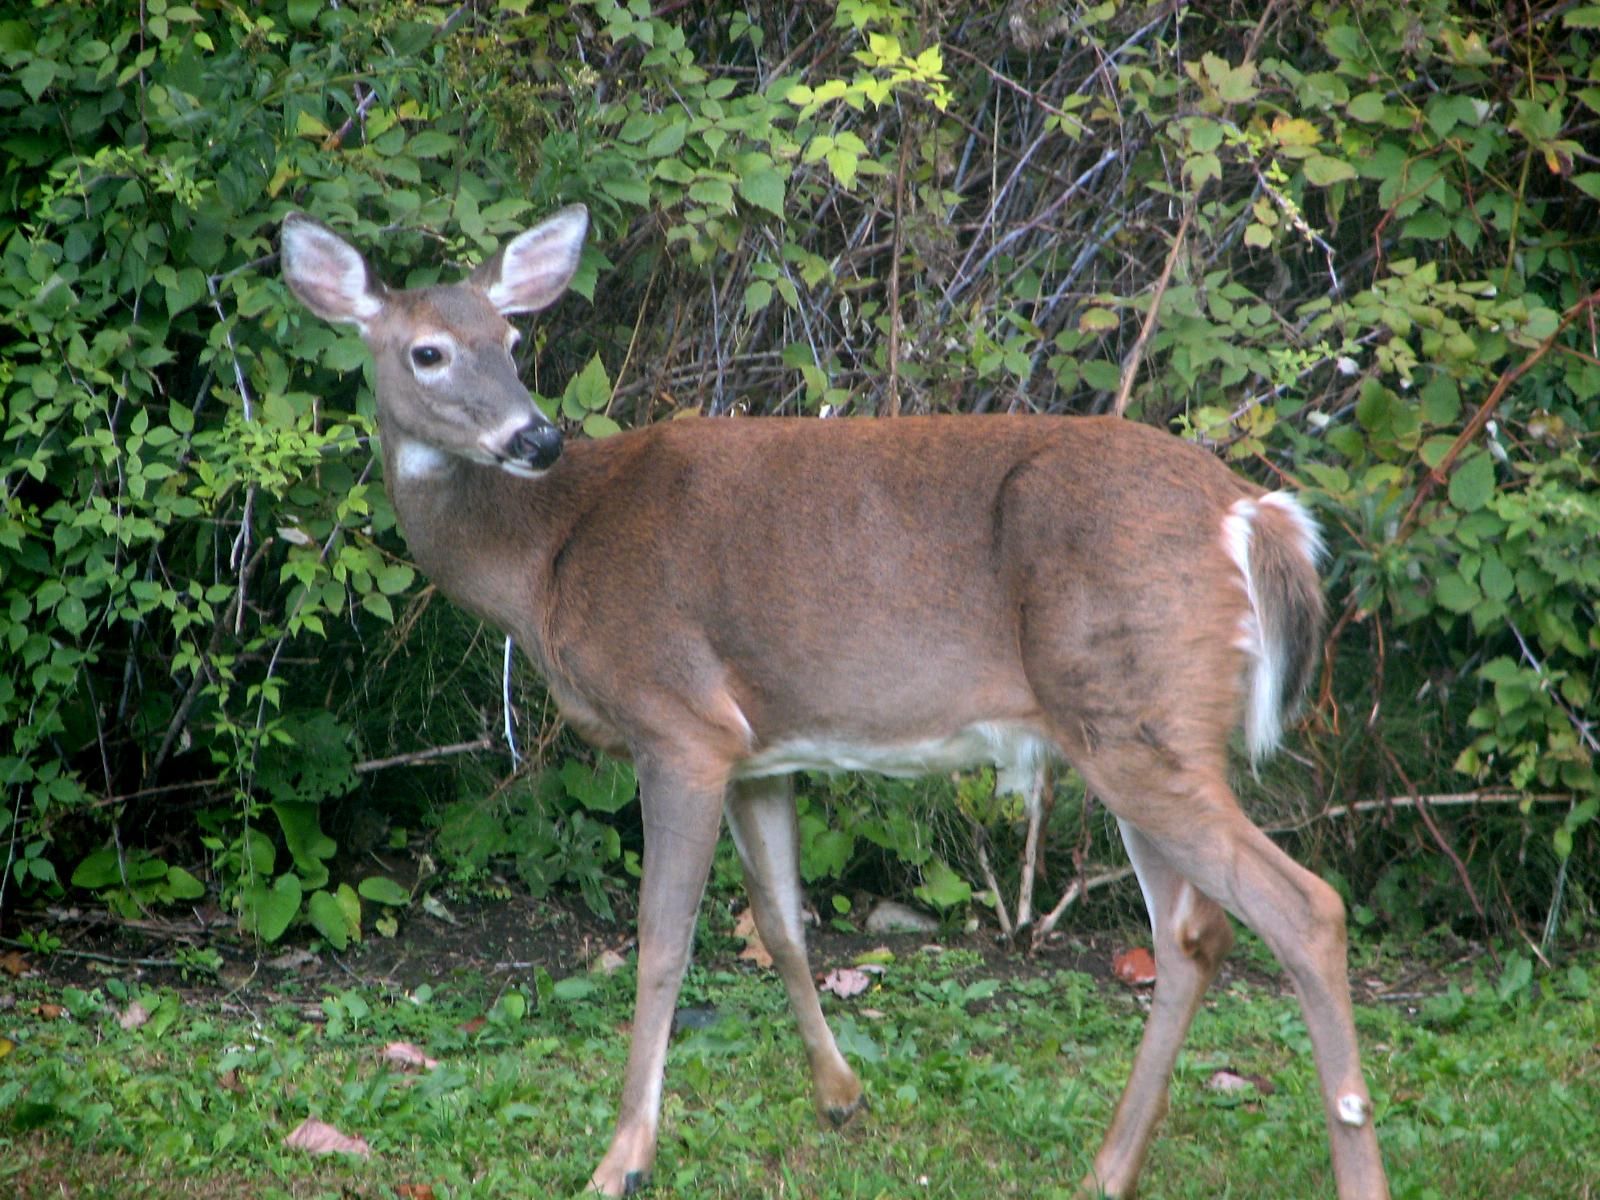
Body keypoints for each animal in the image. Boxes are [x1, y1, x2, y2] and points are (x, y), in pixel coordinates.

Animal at [281, 209, 1395, 1200]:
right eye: (429, 351)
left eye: (512, 341)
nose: (534, 436)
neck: (548, 554)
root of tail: (1253, 515)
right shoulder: (757, 749)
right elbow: (781, 922)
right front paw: (841, 1096)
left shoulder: (676, 718)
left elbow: (661, 944)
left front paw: (623, 1159)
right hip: (1133, 727)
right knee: (1191, 934)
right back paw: (1105, 1172)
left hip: (1135, 715)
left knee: (1304, 908)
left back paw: (1345, 1172)